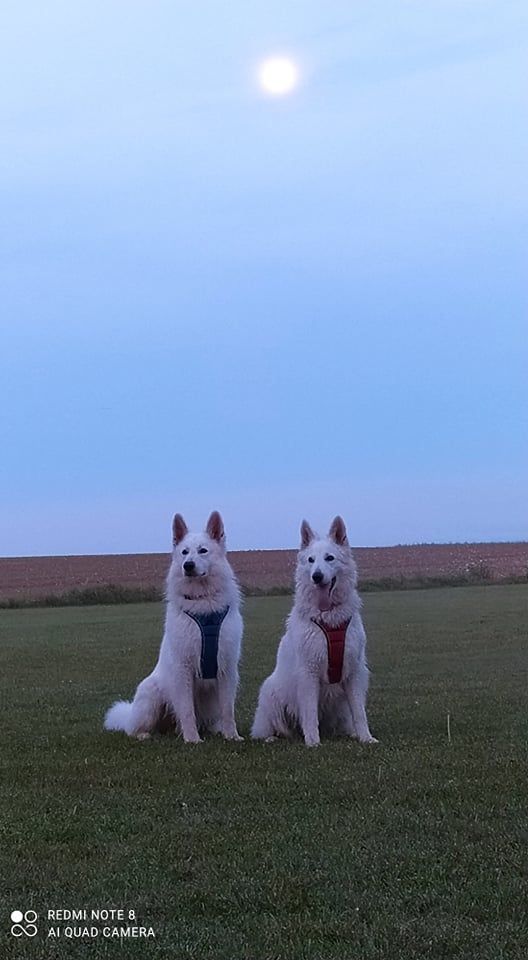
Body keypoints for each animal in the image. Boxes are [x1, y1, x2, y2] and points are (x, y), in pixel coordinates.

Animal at [104, 511, 243, 742]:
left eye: (203, 551)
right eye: (184, 552)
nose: (188, 565)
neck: (202, 604)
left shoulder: (226, 670)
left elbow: (228, 710)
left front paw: (232, 736)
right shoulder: (183, 670)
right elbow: (186, 710)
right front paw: (192, 740)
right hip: (151, 698)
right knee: (132, 729)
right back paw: (145, 734)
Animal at [251, 516, 377, 747]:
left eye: (329, 558)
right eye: (310, 560)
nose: (316, 576)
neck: (330, 620)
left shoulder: (354, 673)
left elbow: (360, 713)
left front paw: (366, 737)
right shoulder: (308, 674)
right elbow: (309, 714)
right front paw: (313, 742)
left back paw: (351, 733)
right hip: (270, 693)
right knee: (269, 729)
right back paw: (272, 737)